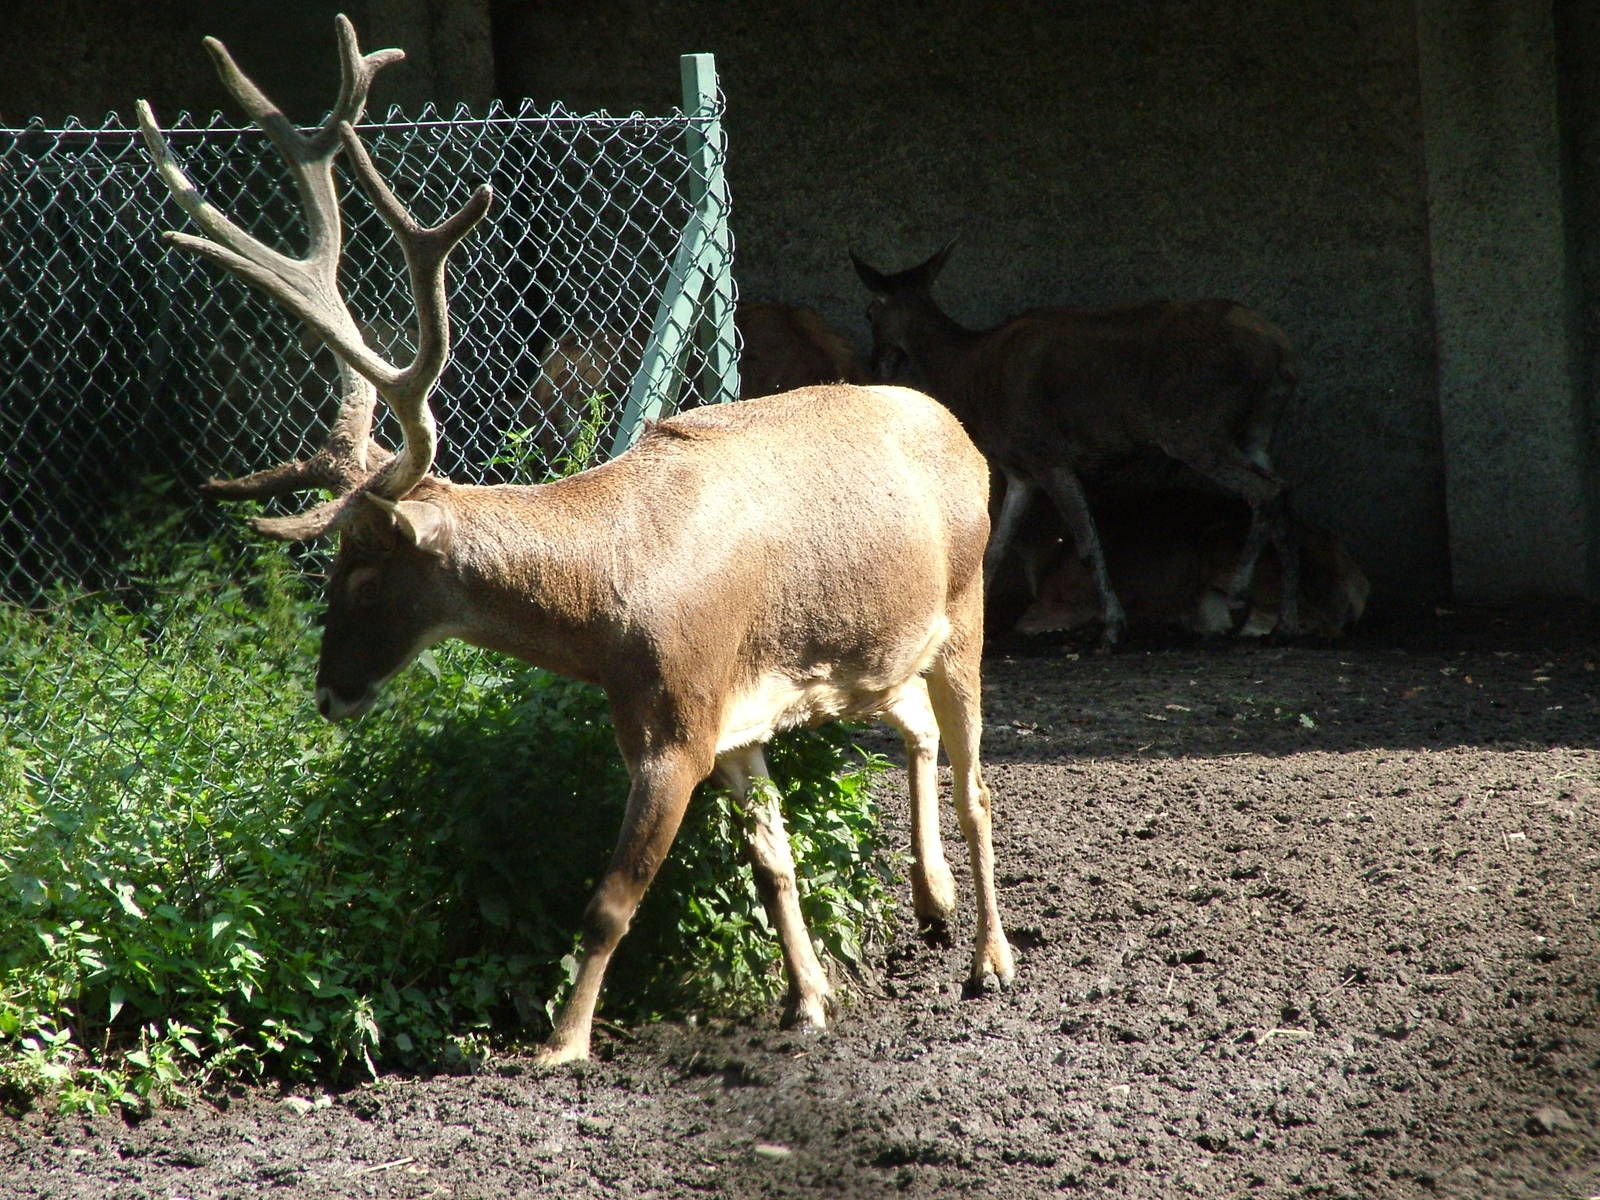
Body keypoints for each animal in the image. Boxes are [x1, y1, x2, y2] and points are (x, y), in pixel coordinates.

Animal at [138, 17, 1014, 1067]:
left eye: (364, 573)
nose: (328, 691)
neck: (607, 612)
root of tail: (965, 435)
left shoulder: (675, 721)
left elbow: (609, 902)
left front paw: (564, 1040)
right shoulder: (731, 718)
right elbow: (772, 864)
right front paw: (807, 1000)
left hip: (967, 610)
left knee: (976, 780)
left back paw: (991, 960)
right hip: (875, 651)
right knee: (914, 727)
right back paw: (932, 906)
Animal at [851, 241, 1301, 650]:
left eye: (870, 312)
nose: (877, 365)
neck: (973, 381)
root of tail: (1280, 350)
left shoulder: (1049, 454)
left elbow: (1086, 542)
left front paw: (1113, 628)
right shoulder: (1021, 470)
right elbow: (995, 547)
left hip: (1194, 425)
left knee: (1265, 491)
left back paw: (1239, 601)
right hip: (1257, 428)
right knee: (1282, 492)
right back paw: (1284, 623)